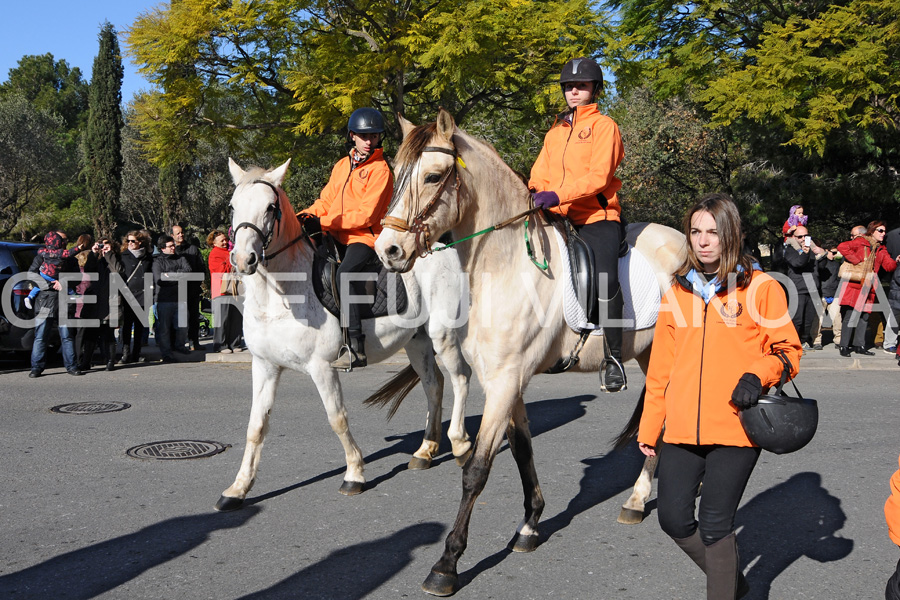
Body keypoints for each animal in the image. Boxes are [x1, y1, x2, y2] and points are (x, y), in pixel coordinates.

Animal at [215, 158, 474, 510]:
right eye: (233, 206)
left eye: (270, 207)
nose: (243, 260)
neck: (280, 294)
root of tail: (442, 247)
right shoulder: (264, 366)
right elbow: (256, 426)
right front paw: (238, 489)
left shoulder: (322, 367)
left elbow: (337, 418)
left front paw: (354, 474)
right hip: (417, 341)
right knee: (434, 386)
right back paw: (425, 451)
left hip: (443, 335)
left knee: (460, 378)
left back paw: (460, 445)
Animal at [376, 109, 684, 596]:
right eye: (398, 174)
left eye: (434, 176)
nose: (387, 249)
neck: (505, 267)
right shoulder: (505, 380)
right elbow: (522, 450)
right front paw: (529, 526)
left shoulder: (505, 381)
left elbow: (476, 470)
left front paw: (447, 564)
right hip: (650, 355)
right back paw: (636, 500)